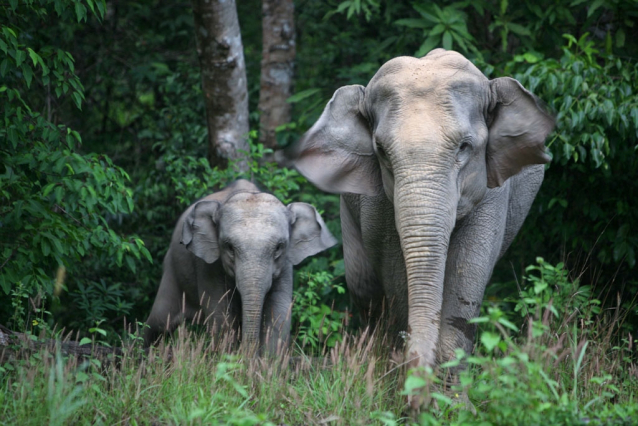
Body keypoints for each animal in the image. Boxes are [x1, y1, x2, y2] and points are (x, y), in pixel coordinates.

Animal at [142, 178, 338, 352]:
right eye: (229, 247)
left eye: (278, 247)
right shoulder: (208, 265)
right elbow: (222, 317)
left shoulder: (285, 266)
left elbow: (278, 316)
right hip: (171, 268)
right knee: (159, 322)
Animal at [284, 50, 556, 392]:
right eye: (381, 151)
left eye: (465, 147)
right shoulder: (377, 200)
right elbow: (394, 272)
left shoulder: (494, 191)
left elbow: (469, 270)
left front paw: (450, 398)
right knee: (364, 288)